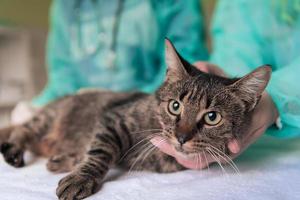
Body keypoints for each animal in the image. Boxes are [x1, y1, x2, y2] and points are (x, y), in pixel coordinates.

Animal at [0, 38, 270, 199]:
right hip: (48, 117)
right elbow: (100, 152)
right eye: (175, 106)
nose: (181, 137)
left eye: (212, 117)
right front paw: (82, 177)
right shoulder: (112, 118)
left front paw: (74, 165)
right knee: (23, 130)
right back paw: (15, 149)